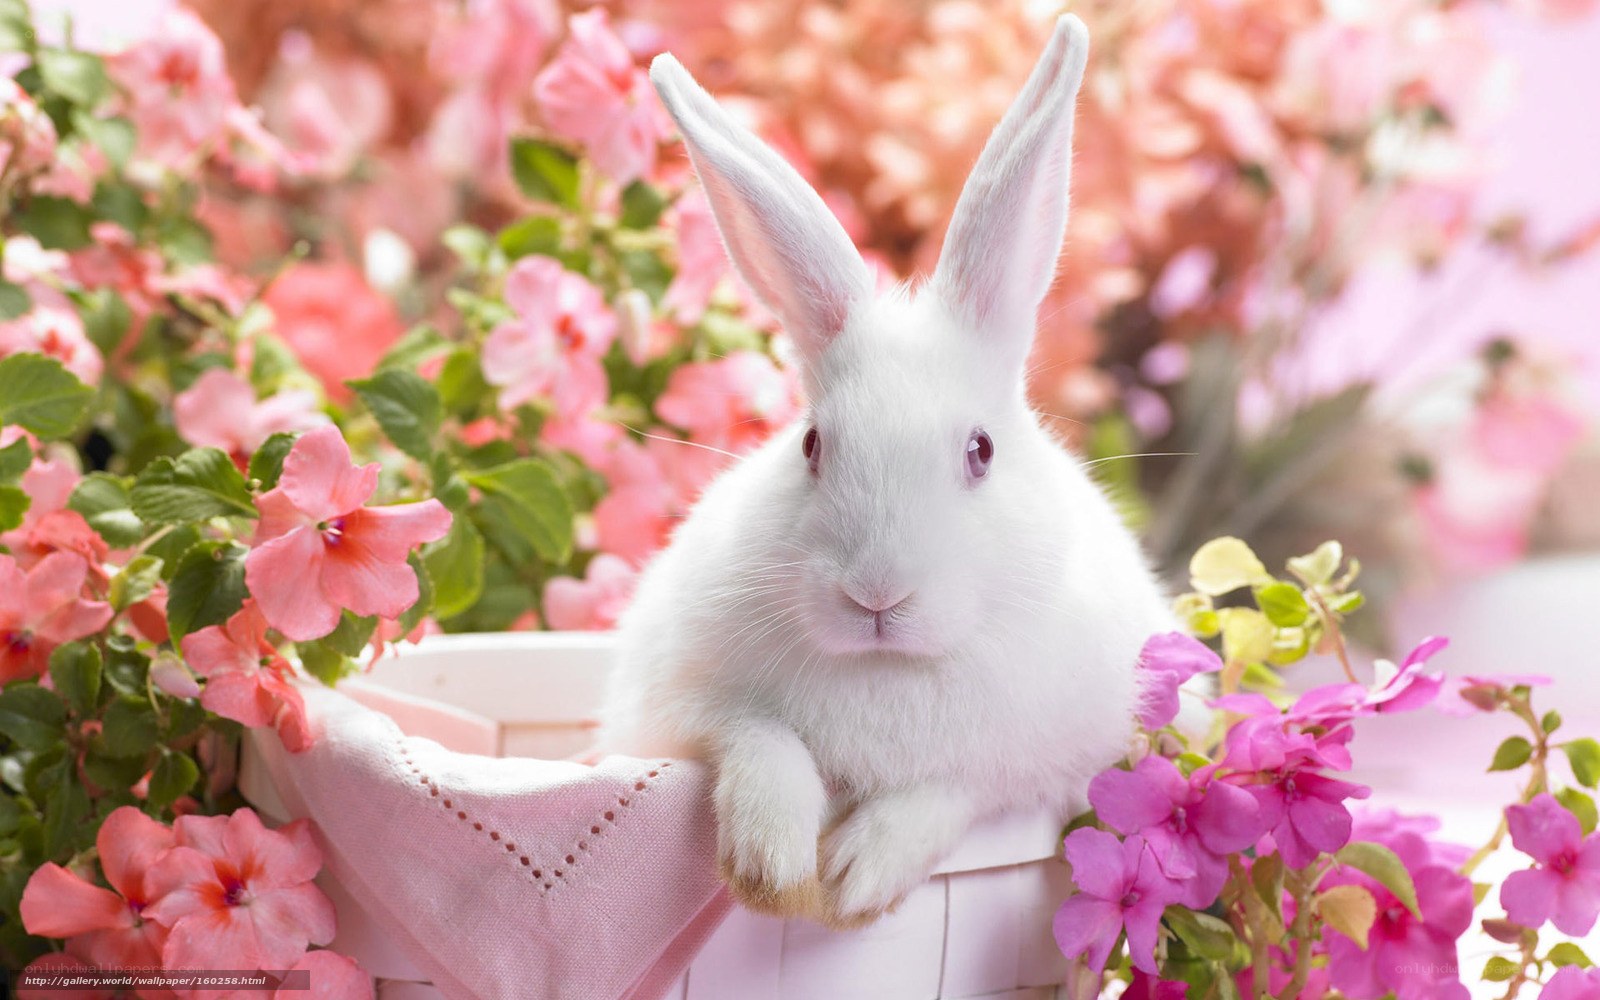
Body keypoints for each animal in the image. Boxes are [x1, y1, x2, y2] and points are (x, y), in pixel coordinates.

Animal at [599, 14, 1179, 928]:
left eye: (981, 451)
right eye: (811, 445)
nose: (876, 595)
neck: (887, 669)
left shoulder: (1043, 763)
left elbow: (950, 790)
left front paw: (855, 876)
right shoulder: (679, 706)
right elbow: (757, 738)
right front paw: (772, 866)